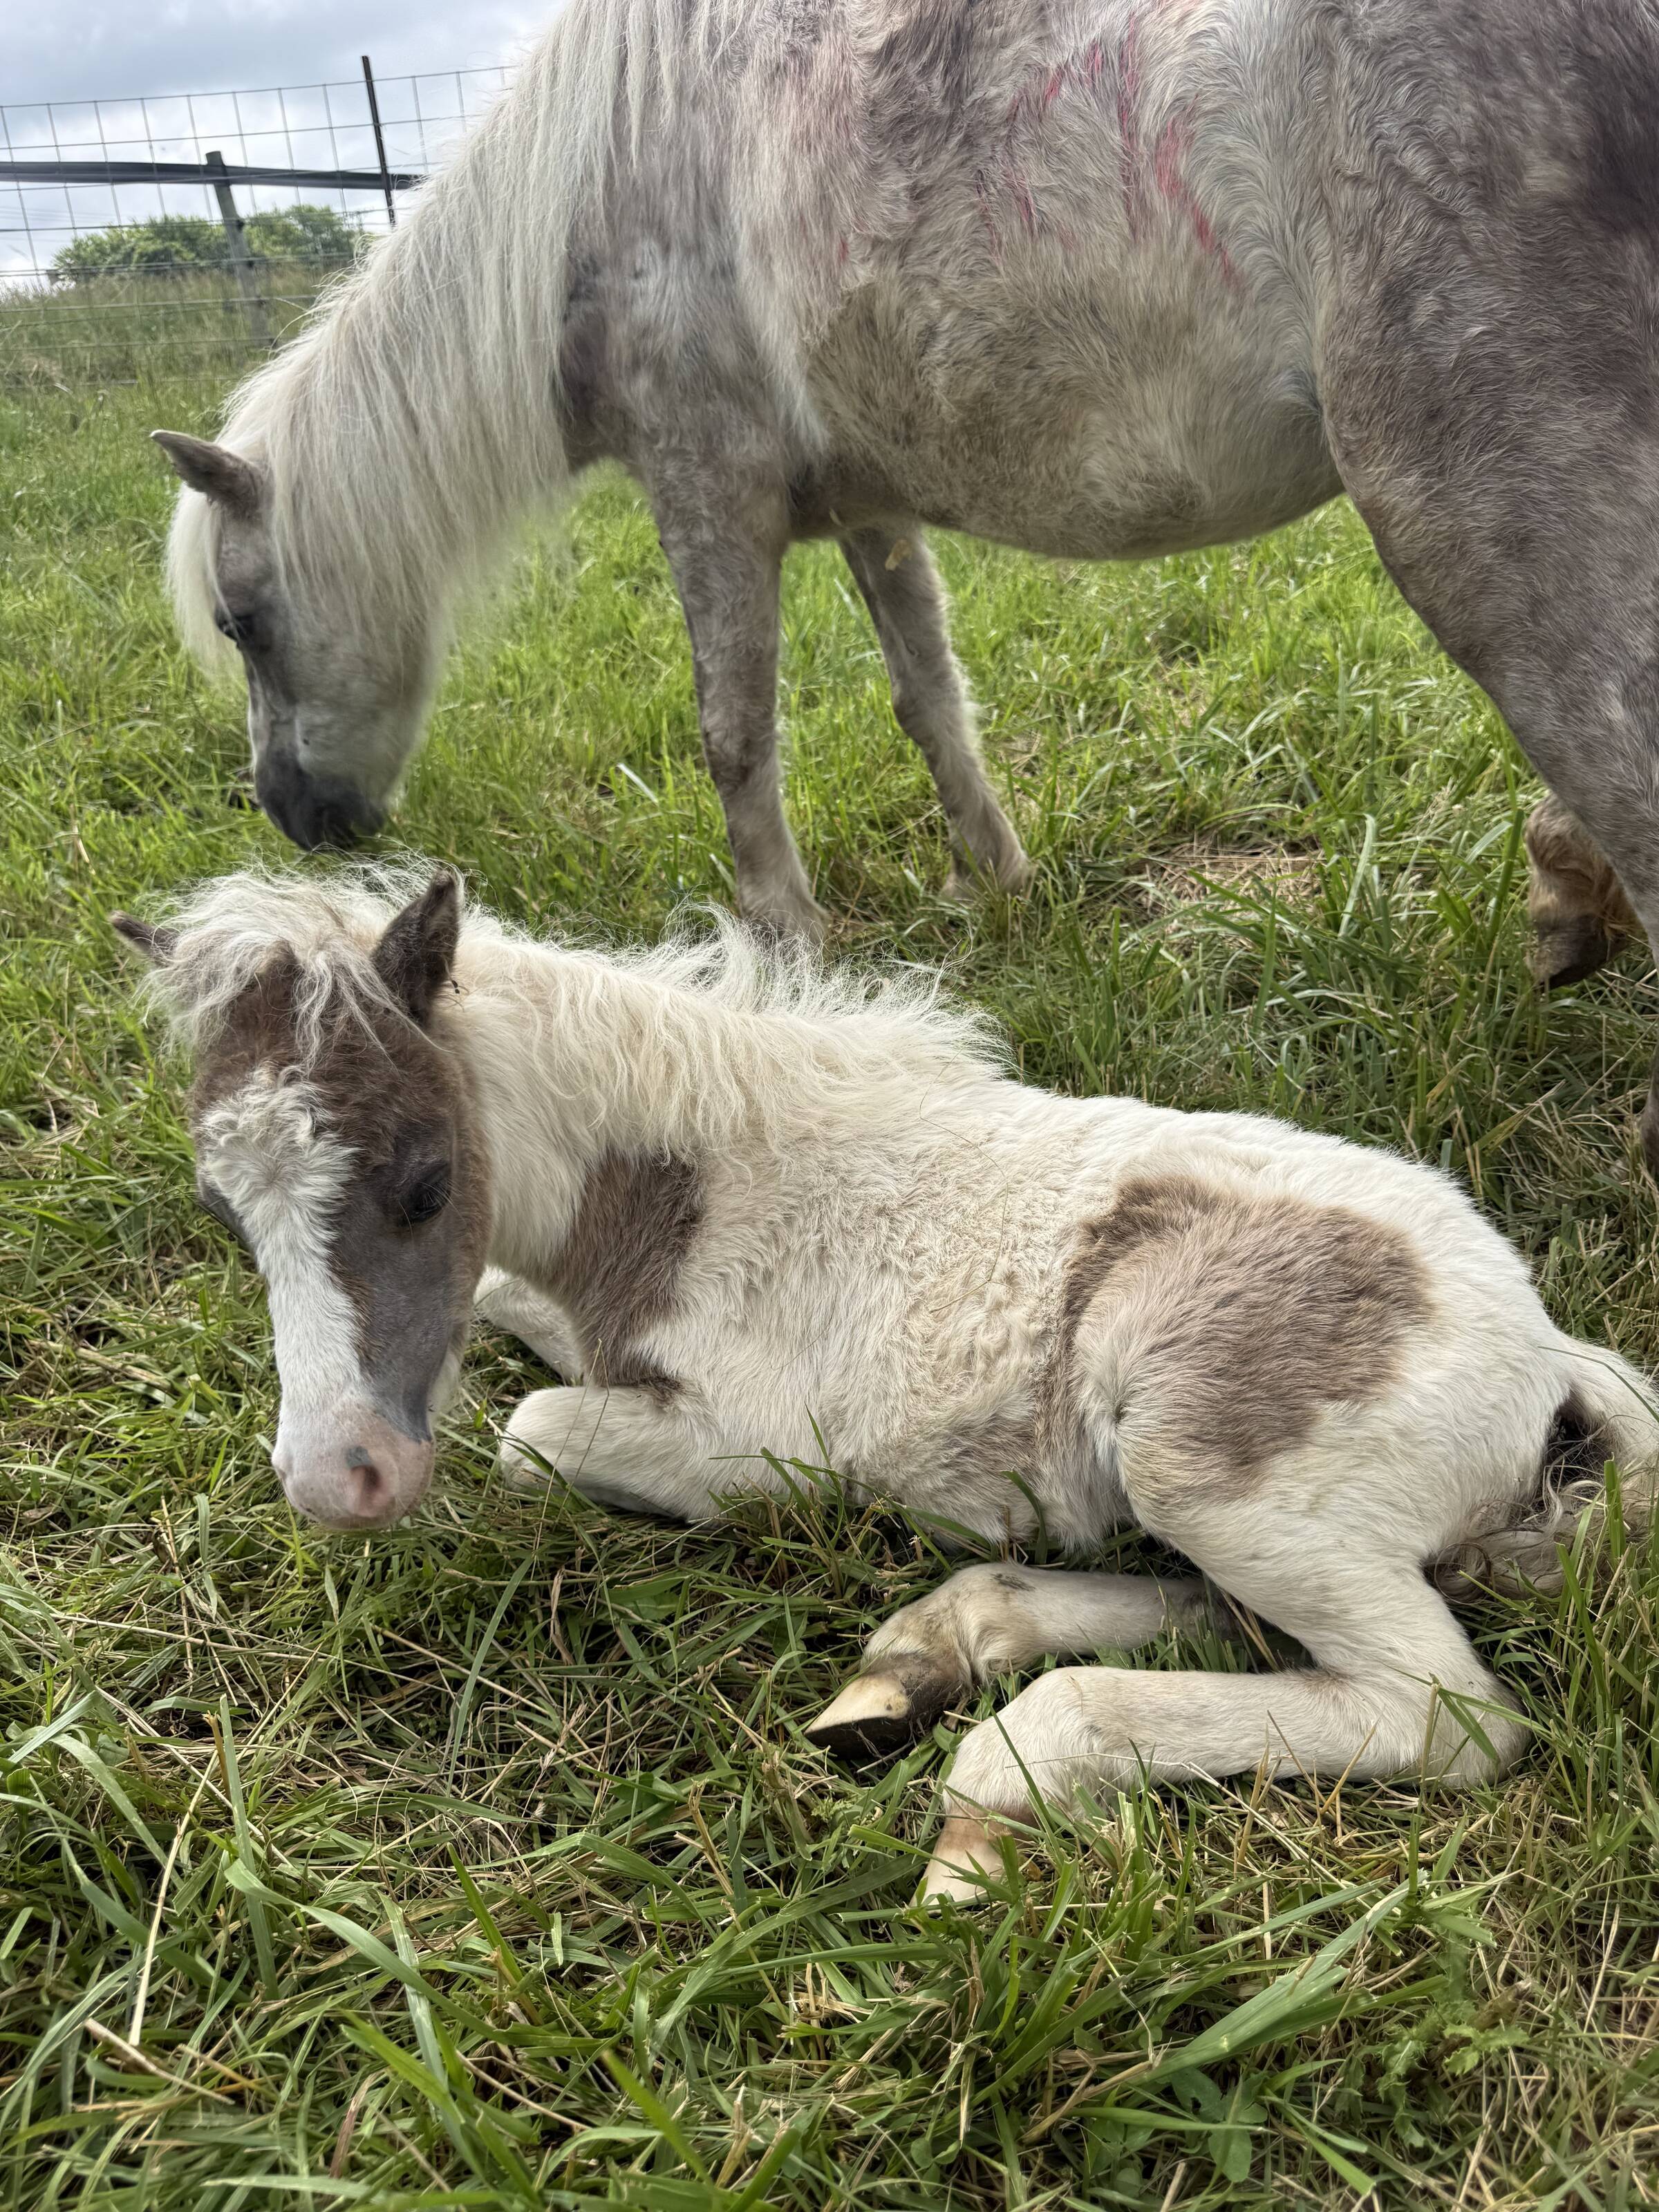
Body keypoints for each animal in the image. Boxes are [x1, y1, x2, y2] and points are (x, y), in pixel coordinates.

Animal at [113, 864, 1659, 1899]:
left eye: (426, 1181)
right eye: (218, 1207)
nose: (340, 1477)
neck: (692, 1191)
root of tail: (1544, 1361)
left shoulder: (759, 1440)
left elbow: (536, 1431)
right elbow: (510, 1320)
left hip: (1205, 1458)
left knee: (1441, 1712)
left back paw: (1010, 1774)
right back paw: (935, 1653)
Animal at [151, 0, 1659, 1171]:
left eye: (243, 622)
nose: (293, 816)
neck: (598, 191)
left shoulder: (710, 489)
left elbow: (735, 730)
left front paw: (781, 956)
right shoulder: (871, 512)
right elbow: (933, 701)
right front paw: (1003, 888)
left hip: (1470, 509)